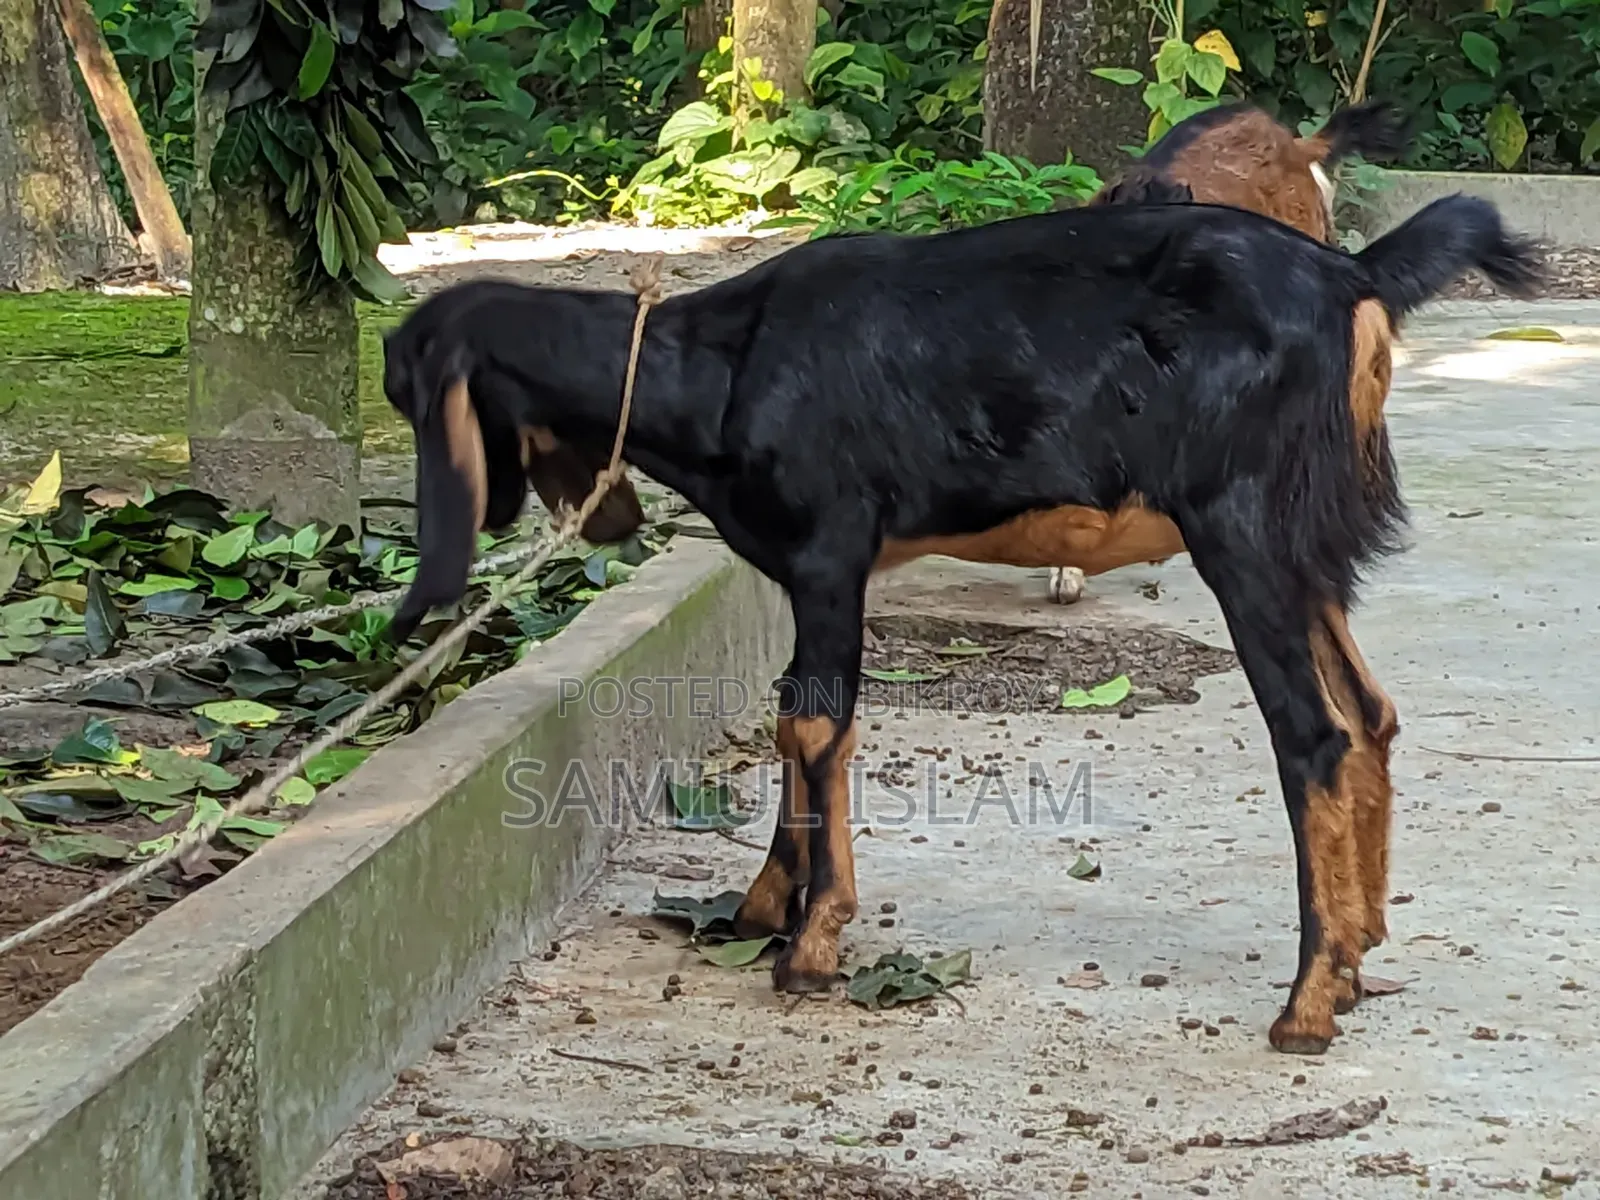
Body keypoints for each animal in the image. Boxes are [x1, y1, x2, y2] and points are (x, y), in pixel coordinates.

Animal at [382, 195, 1538, 1054]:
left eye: (409, 393)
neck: (723, 365)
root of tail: (1355, 282)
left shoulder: (831, 552)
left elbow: (814, 722)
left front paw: (809, 947)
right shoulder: (811, 573)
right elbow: (794, 720)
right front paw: (764, 909)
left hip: (1242, 527)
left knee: (1313, 734)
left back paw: (1304, 1003)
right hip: (1302, 544)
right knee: (1370, 711)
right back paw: (1355, 953)